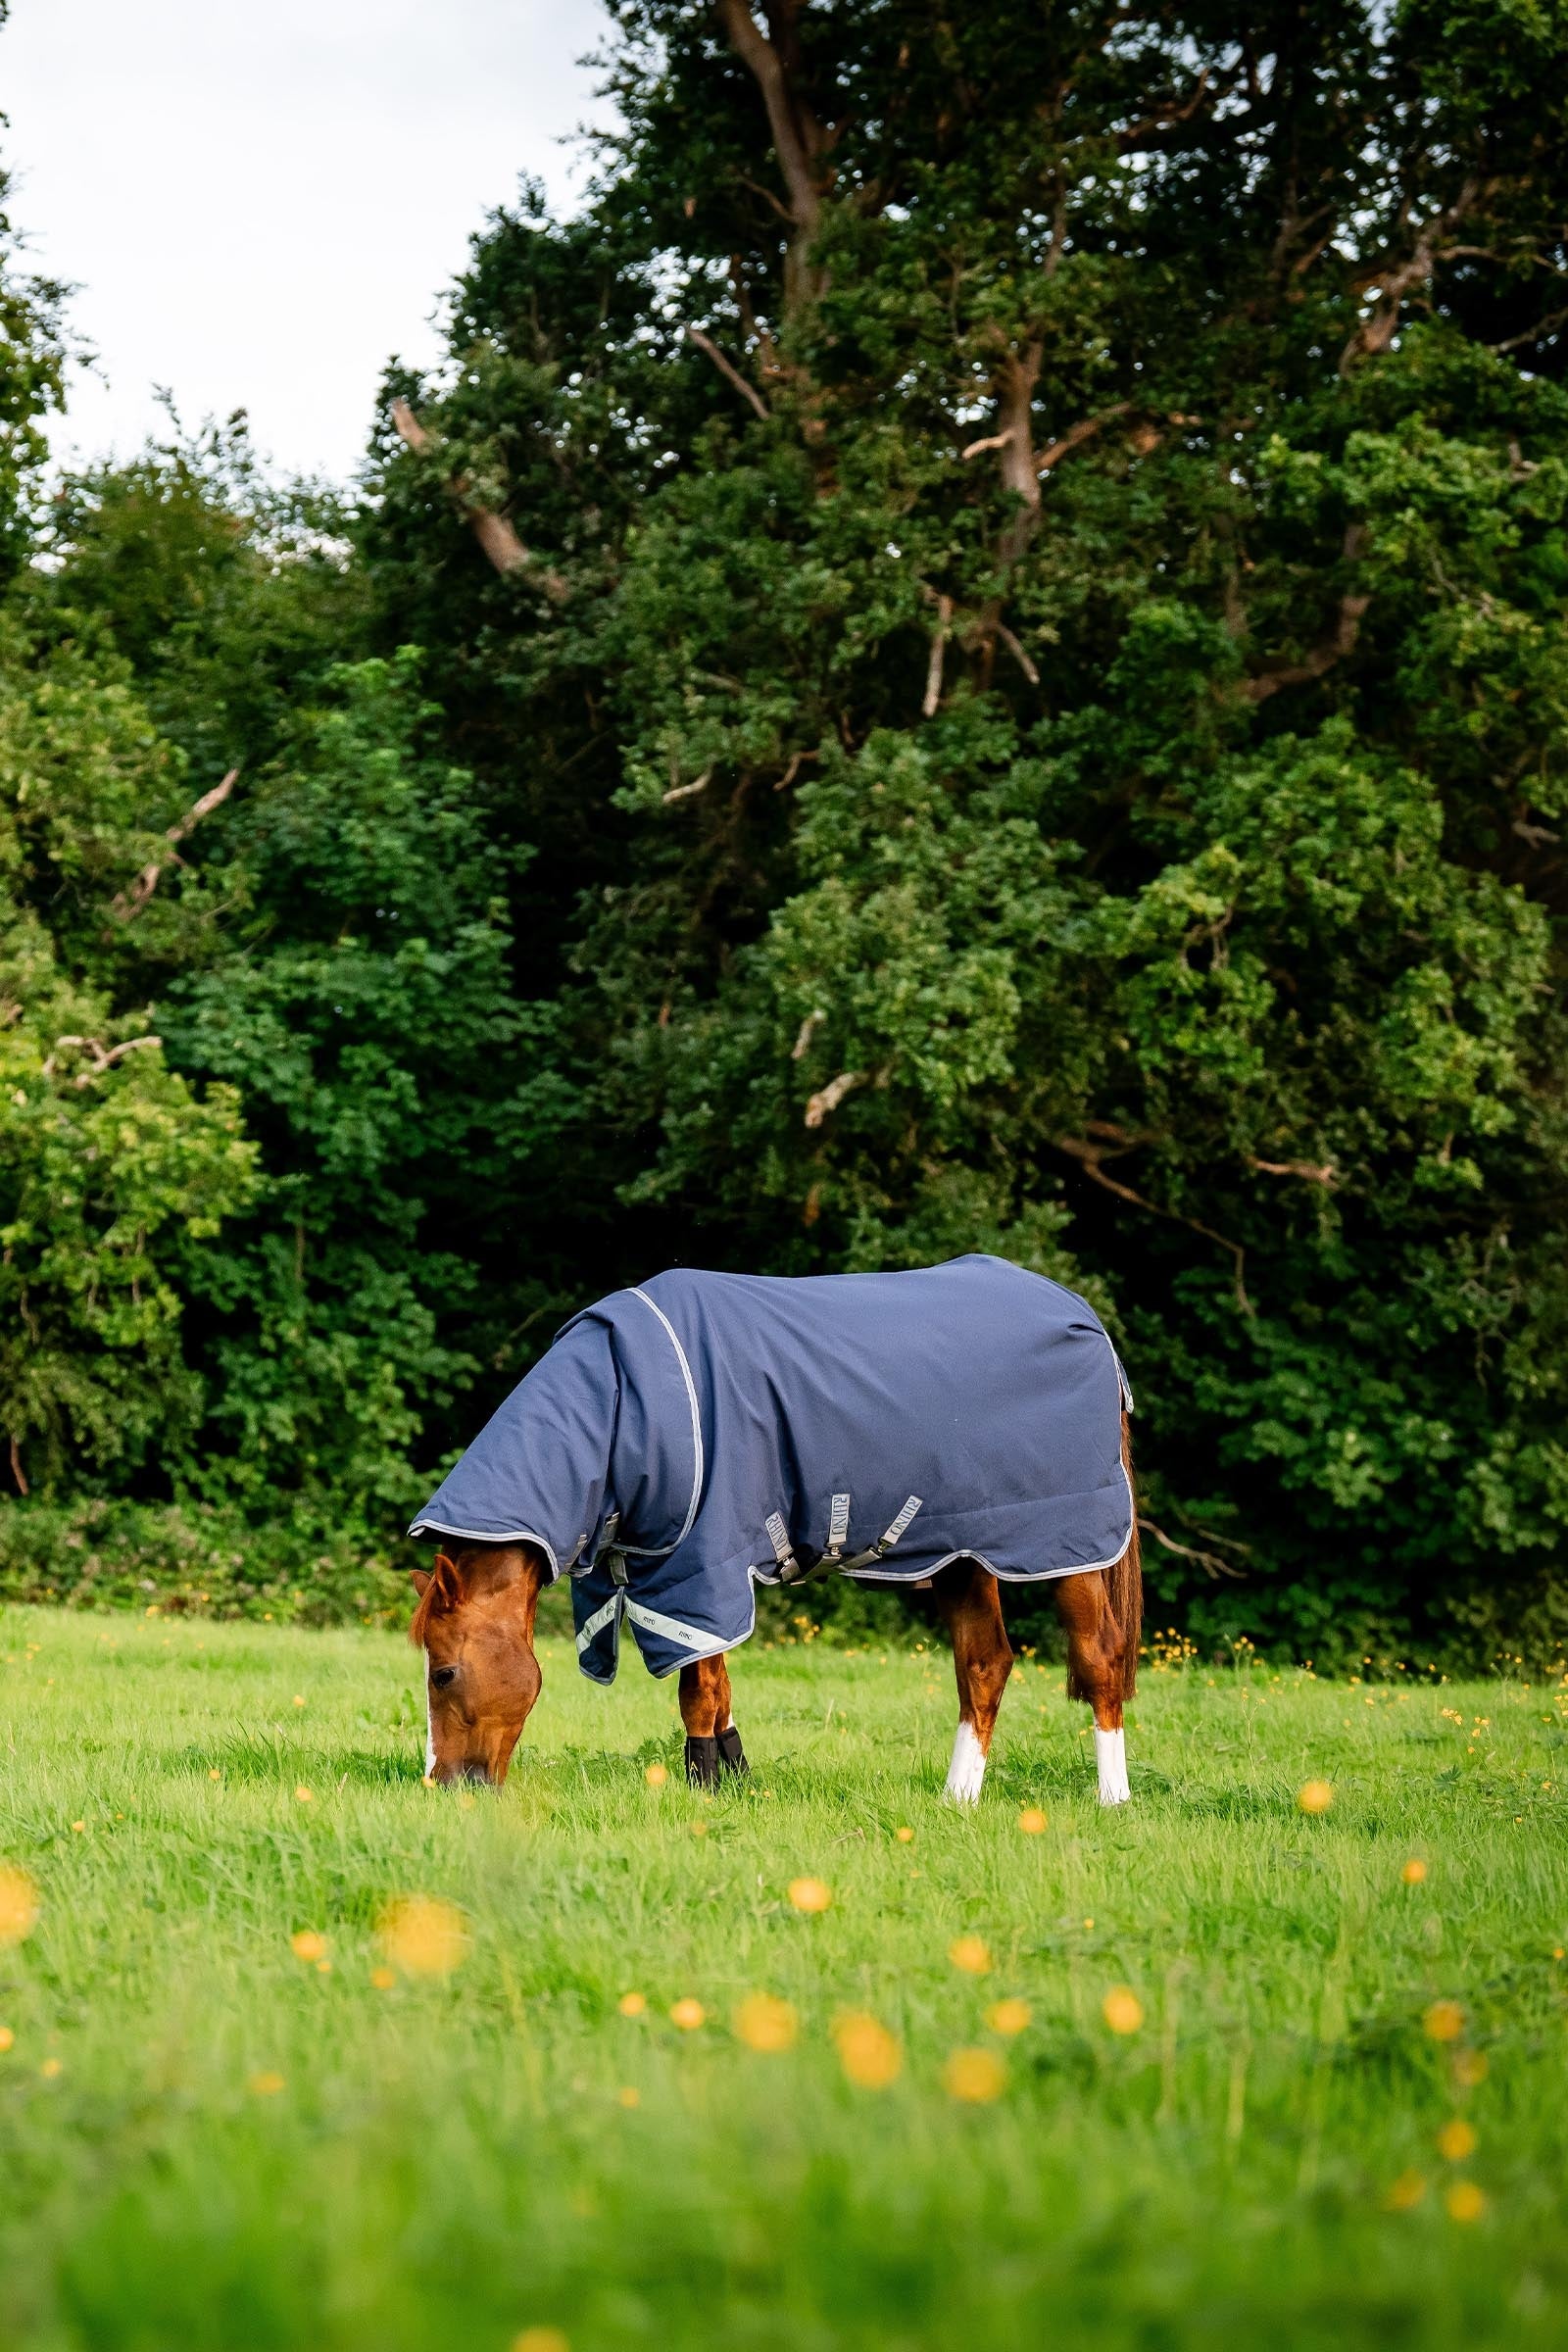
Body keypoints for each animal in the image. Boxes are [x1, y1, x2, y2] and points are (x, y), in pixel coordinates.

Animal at [407, 1257, 1143, 1806]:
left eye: (443, 1673)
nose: (443, 1784)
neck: (620, 1406)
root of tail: (1086, 1321)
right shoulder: (691, 1575)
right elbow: (719, 1683)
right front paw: (734, 1780)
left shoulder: (701, 1564)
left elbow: (697, 1691)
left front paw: (704, 1788)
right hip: (963, 1553)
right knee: (985, 1665)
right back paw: (956, 1799)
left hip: (1069, 1546)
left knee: (1100, 1659)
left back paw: (1113, 1799)